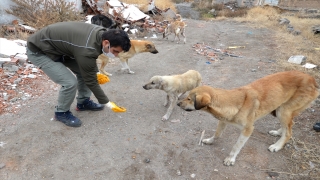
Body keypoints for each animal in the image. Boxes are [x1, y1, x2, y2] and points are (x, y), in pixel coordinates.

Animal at [176, 70, 318, 166]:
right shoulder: (223, 121)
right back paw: (278, 132)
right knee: (288, 126)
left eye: (189, 99)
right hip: (281, 110)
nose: (177, 104)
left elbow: (236, 146)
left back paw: (277, 146)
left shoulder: (248, 129)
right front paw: (210, 140)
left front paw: (230, 159)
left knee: (289, 132)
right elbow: (217, 134)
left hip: (283, 111)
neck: (233, 103)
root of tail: (312, 79)